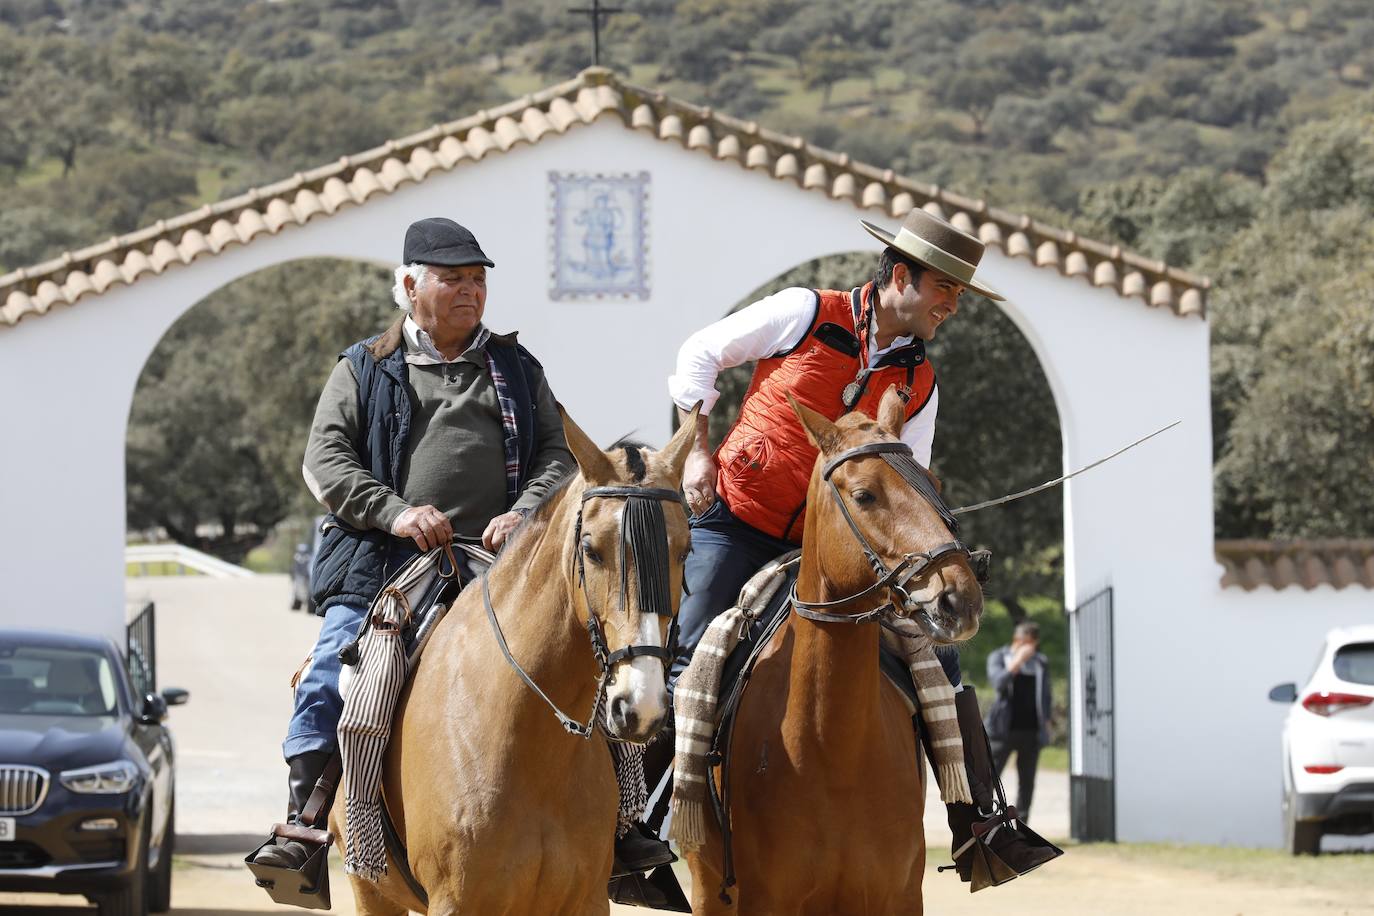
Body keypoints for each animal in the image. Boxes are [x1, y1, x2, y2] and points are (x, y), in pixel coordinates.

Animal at [333, 409, 697, 916]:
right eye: (591, 550)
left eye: (685, 551)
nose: (639, 707)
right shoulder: (456, 902)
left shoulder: (586, 900)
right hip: (370, 890)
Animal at [687, 384, 989, 911]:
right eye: (864, 495)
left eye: (932, 483)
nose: (960, 598)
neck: (833, 749)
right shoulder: (765, 899)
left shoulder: (899, 896)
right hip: (708, 887)